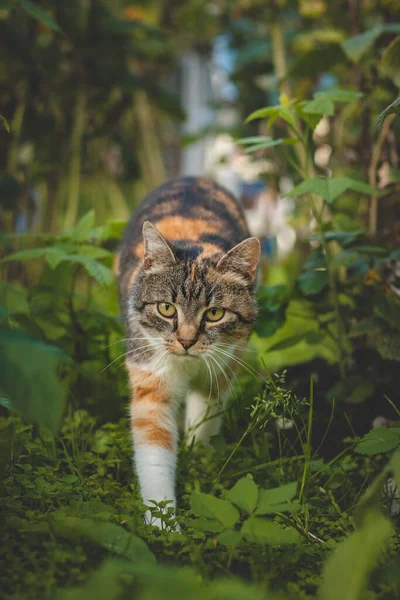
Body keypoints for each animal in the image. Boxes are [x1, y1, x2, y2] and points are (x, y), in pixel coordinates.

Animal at [114, 176, 260, 528]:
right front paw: (164, 526)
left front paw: (198, 461)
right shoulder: (150, 373)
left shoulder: (221, 369)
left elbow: (203, 421)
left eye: (215, 314)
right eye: (166, 308)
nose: (186, 341)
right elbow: (154, 447)